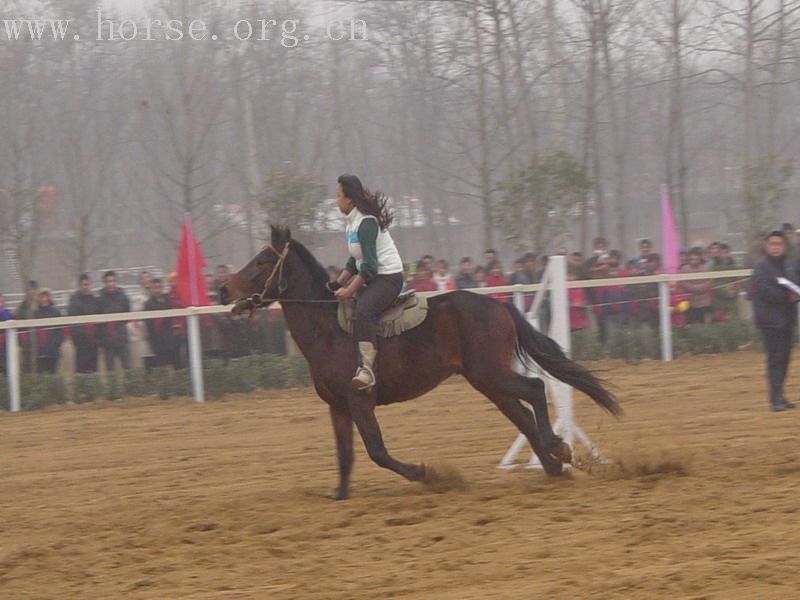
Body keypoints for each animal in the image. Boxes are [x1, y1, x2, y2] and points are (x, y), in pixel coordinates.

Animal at [219, 227, 620, 500]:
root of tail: (498, 305)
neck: (328, 327)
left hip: (491, 373)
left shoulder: (360, 400)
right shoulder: (338, 407)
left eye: (262, 261)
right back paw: (553, 465)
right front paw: (341, 495)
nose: (223, 289)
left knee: (535, 389)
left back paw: (557, 448)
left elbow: (377, 450)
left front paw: (424, 473)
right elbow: (345, 456)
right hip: (487, 381)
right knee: (521, 415)